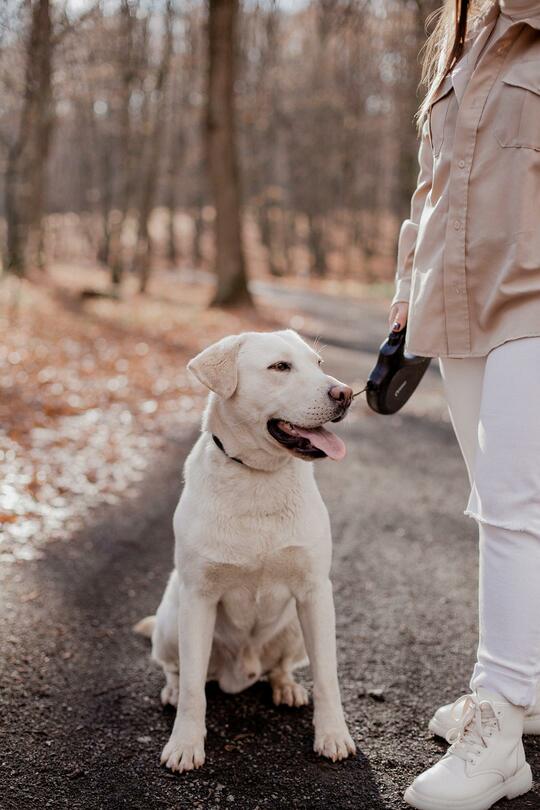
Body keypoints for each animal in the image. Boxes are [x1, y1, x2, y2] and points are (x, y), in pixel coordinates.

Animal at [135, 326, 356, 772]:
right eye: (280, 367)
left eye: (319, 364)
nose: (345, 393)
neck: (259, 476)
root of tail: (241, 671)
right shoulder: (198, 597)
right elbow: (193, 689)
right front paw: (185, 743)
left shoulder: (315, 593)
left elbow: (327, 675)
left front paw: (332, 734)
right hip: (170, 622)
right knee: (177, 670)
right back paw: (172, 690)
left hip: (294, 627)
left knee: (281, 667)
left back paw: (286, 687)